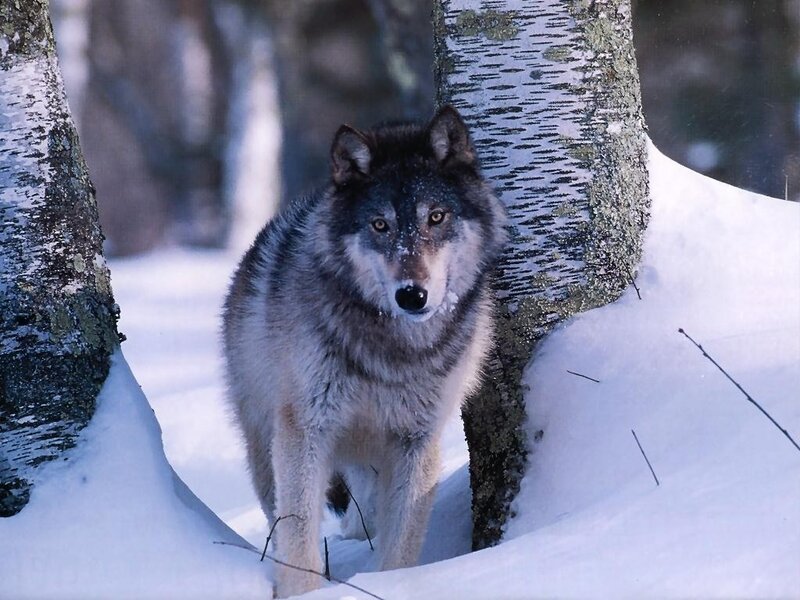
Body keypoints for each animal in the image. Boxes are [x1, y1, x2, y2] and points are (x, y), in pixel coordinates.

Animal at [222, 106, 506, 597]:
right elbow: (299, 538)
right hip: (265, 445)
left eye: (436, 217)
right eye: (380, 225)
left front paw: (392, 585)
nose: (411, 295)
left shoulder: (417, 442)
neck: (391, 353)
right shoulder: (305, 430)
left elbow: (401, 545)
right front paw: (303, 592)